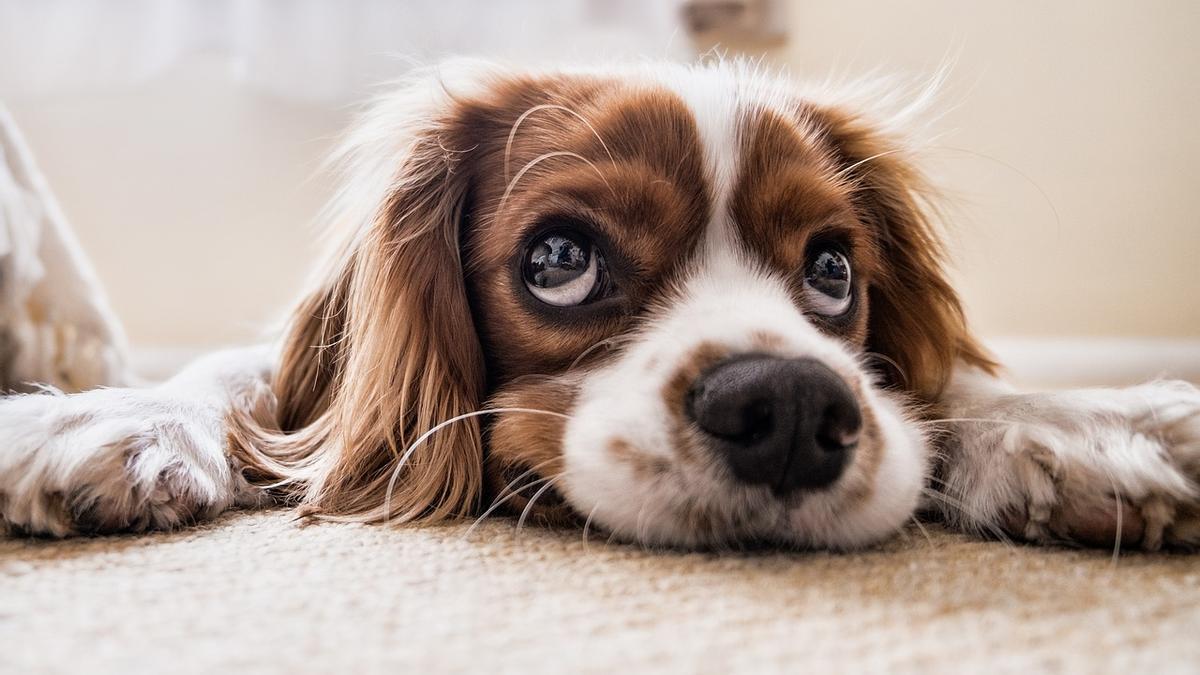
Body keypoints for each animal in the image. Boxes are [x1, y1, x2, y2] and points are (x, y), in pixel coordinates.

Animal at [2, 60, 1200, 550]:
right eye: (560, 259)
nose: (790, 408)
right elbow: (239, 378)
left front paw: (1082, 425)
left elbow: (950, 387)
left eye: (832, 271)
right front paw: (106, 417)